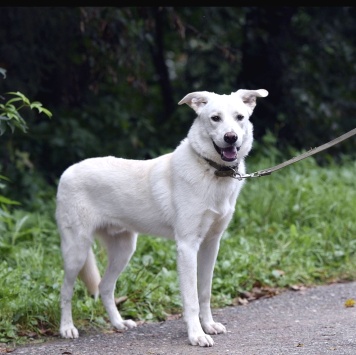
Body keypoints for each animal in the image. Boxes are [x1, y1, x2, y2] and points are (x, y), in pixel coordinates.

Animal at [55, 89, 268, 348]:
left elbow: (205, 292)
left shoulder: (211, 244)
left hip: (124, 250)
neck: (211, 171)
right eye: (215, 118)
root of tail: (67, 171)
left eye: (240, 117)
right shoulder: (187, 247)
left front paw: (208, 326)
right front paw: (197, 335)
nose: (231, 138)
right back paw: (67, 328)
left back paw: (118, 324)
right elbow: (191, 298)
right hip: (76, 250)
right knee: (65, 291)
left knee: (105, 287)